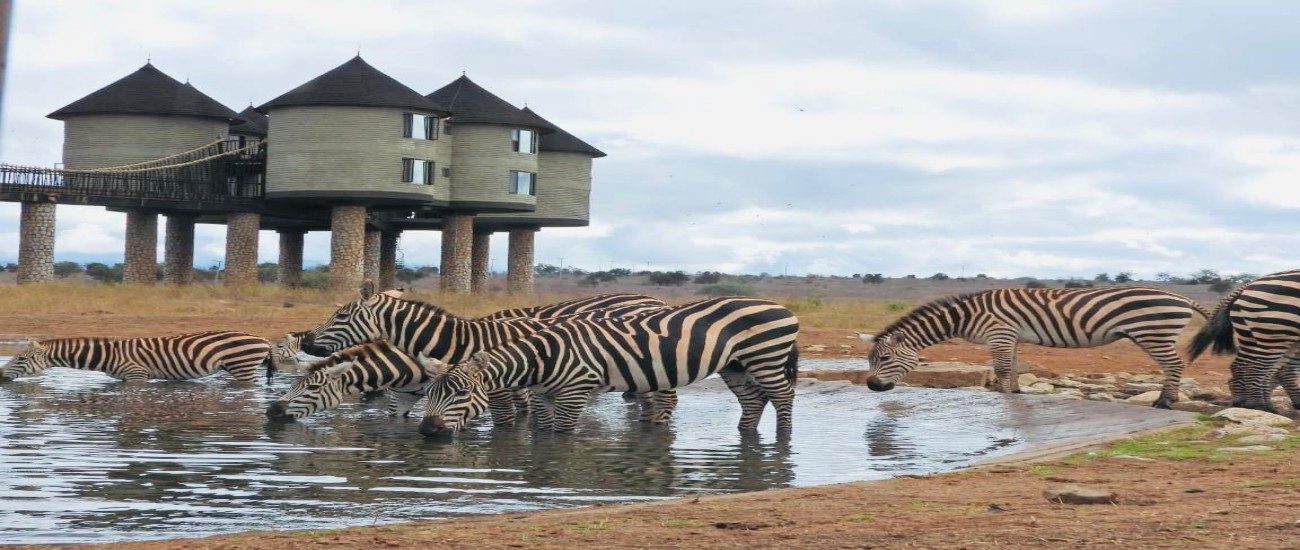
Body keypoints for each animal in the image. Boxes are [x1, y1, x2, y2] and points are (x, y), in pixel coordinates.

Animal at [416, 299, 800, 436]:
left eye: (463, 393)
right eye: (428, 393)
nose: (428, 431)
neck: (544, 358)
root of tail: (780, 306)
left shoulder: (575, 392)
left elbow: (562, 435)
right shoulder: (544, 396)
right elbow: (542, 433)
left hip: (766, 357)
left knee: (783, 396)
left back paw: (783, 438)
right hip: (736, 365)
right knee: (753, 401)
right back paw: (745, 435)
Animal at [863, 288, 1206, 408]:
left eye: (884, 357)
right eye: (871, 359)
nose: (871, 387)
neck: (966, 316)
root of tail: (1181, 297)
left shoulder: (999, 333)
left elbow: (1001, 368)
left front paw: (1002, 397)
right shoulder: (1010, 336)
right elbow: (1013, 366)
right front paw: (1016, 392)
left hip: (1154, 333)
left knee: (1174, 365)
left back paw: (1165, 402)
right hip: (1153, 335)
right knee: (1173, 365)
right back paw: (1169, 399)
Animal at [1190, 271, 1300, 413]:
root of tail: (1248, 285)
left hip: (1265, 337)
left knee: (1259, 367)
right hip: (1276, 332)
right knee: (1257, 367)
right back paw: (1257, 405)